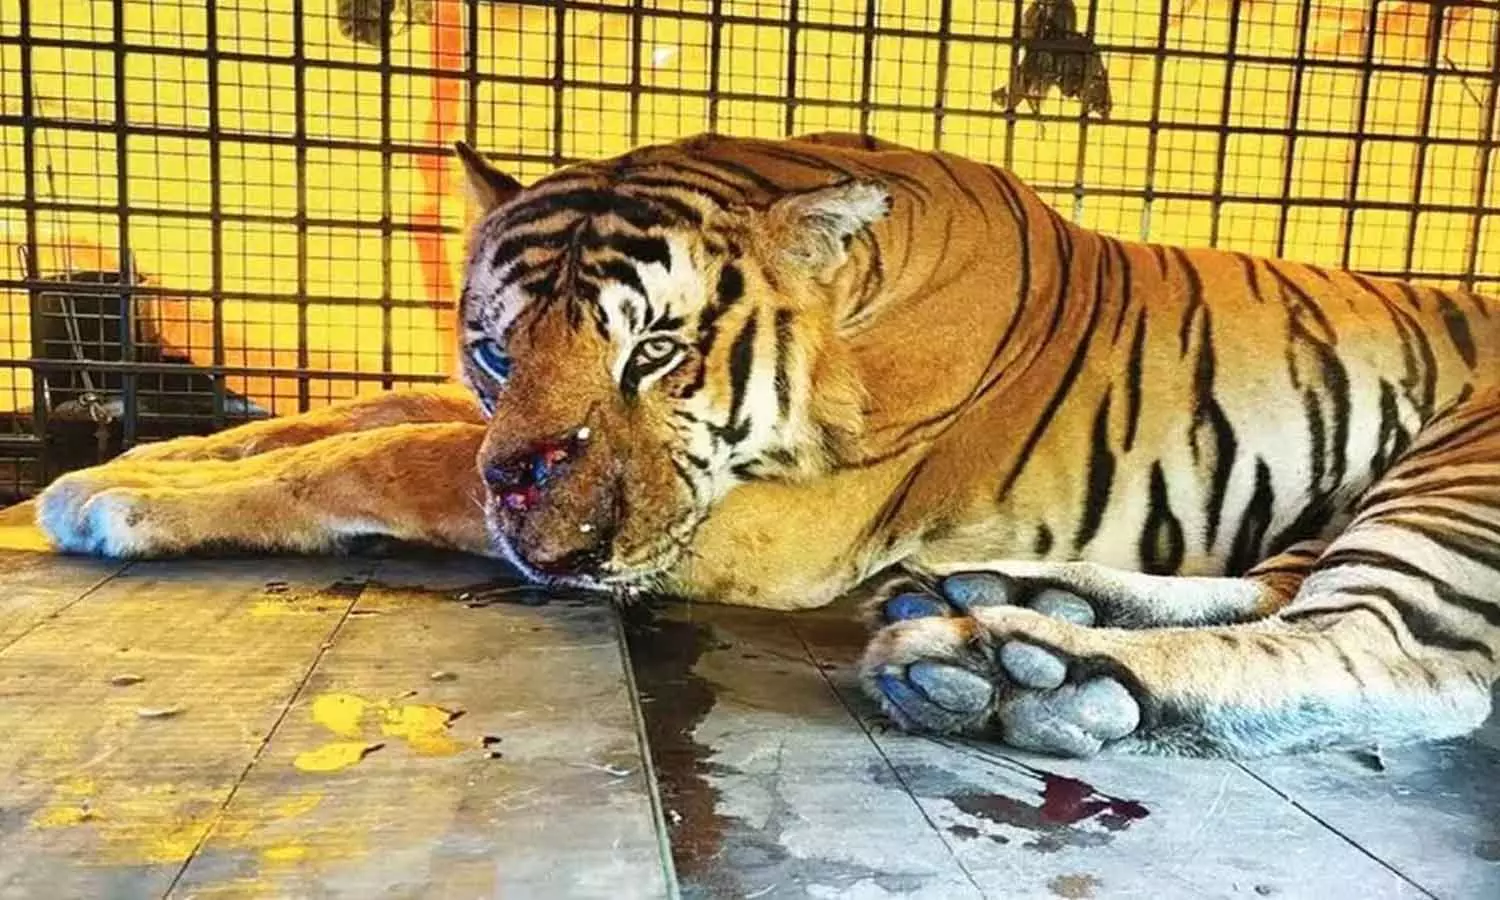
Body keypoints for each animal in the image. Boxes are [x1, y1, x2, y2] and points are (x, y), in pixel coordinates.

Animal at [33, 132, 1500, 759]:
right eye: (498, 352)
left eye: (654, 356)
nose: (533, 525)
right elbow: (372, 411)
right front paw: (117, 466)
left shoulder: (752, 525)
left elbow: (382, 457)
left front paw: (112, 506)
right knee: (1277, 590)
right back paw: (1005, 602)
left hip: (1452, 479)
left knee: (1398, 658)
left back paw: (1024, 672)